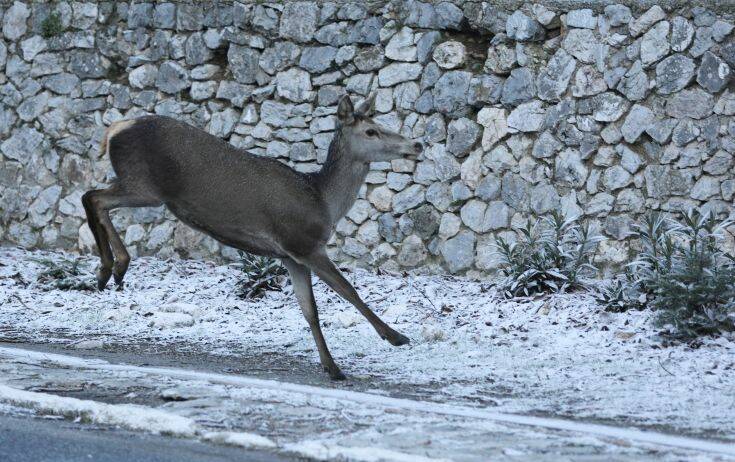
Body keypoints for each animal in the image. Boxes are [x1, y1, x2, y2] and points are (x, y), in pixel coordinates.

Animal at [81, 93, 422, 378]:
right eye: (371, 131)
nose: (416, 145)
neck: (323, 202)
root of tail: (114, 128)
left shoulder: (290, 256)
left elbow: (309, 311)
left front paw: (331, 367)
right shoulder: (304, 242)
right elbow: (349, 290)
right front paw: (395, 336)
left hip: (140, 185)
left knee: (93, 197)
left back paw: (109, 271)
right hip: (146, 185)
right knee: (92, 197)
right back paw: (114, 266)